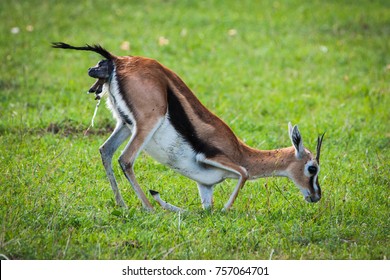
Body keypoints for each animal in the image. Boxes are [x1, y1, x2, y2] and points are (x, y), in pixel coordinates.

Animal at [53, 41, 324, 212]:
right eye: (312, 168)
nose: (317, 196)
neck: (239, 152)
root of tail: (117, 60)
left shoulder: (205, 186)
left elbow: (205, 209)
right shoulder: (217, 159)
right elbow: (244, 176)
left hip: (126, 124)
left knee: (106, 151)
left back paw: (123, 205)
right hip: (147, 123)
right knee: (125, 159)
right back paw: (149, 208)